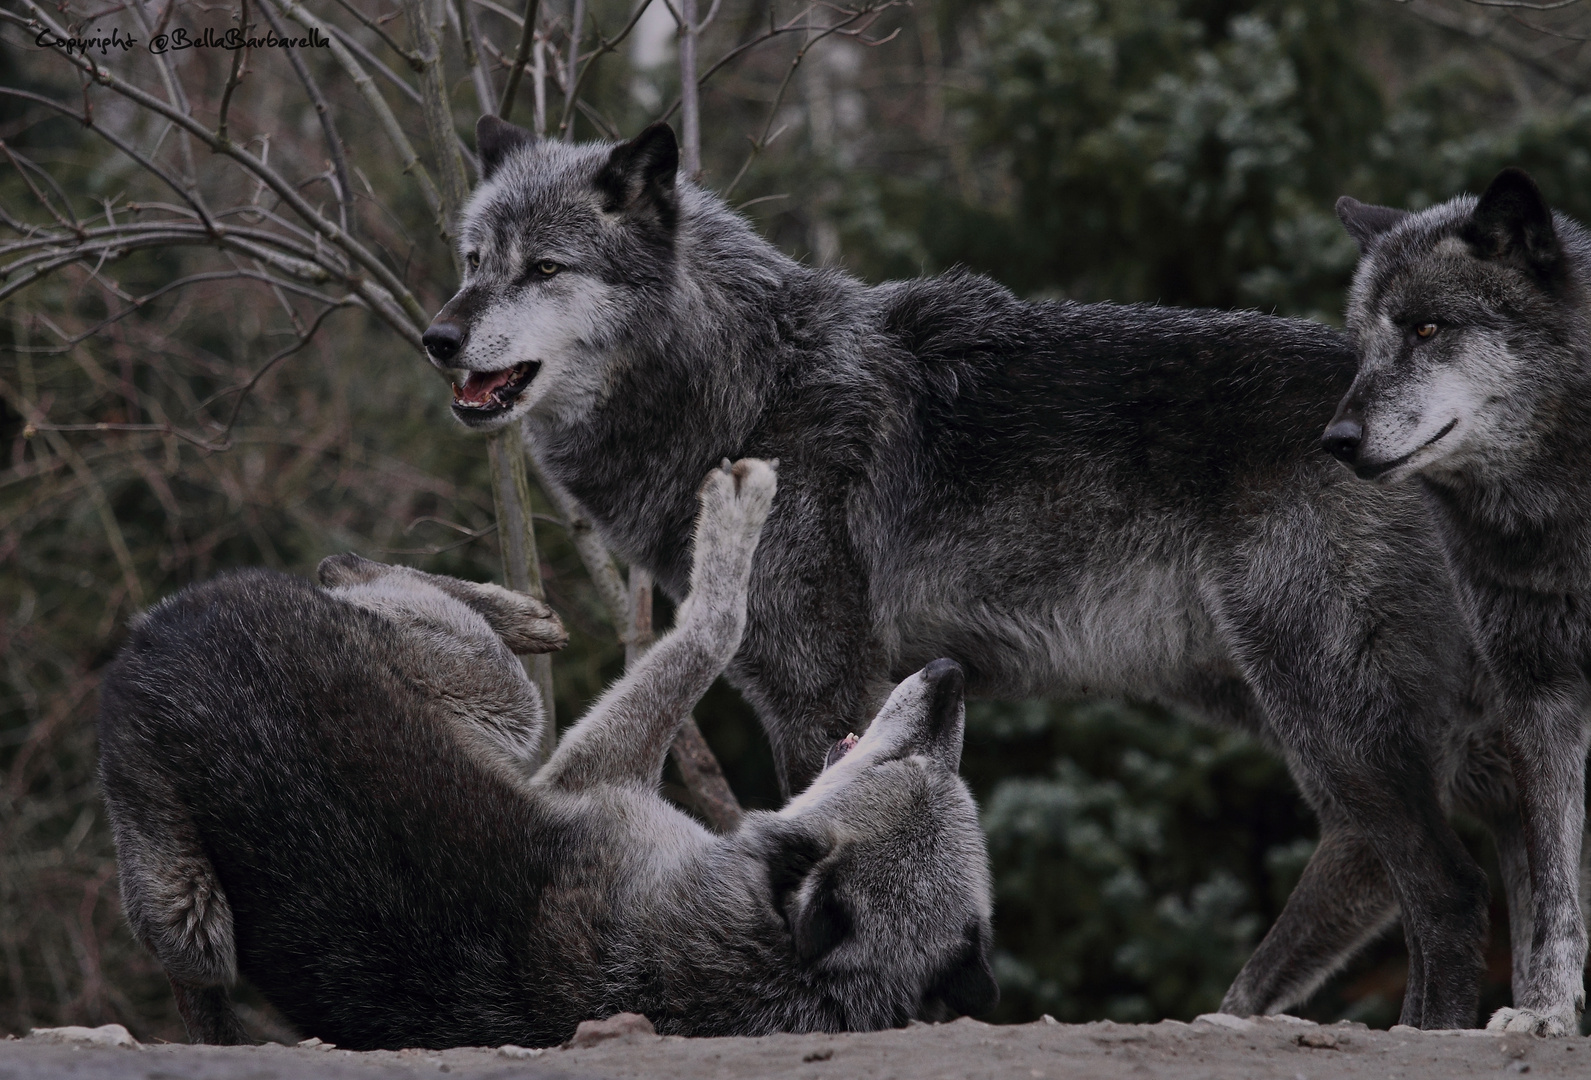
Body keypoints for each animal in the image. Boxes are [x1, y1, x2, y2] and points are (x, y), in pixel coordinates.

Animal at [96, 461, 992, 1049]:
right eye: (937, 766)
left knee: (363, 576)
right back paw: (527, 612)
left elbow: (713, 623)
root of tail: (154, 636)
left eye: (909, 766)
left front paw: (733, 525)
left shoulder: (584, 770)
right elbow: (713, 628)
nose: (951, 676)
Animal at [413, 116, 1501, 1030]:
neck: (747, 386)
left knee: (1444, 888)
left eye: (544, 267)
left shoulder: (822, 688)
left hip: (1315, 696)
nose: (437, 337)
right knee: (1406, 866)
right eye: (472, 261)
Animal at [1323, 168, 1591, 1037]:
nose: (1335, 440)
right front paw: (1545, 1011)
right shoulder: (1539, 695)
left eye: (1427, 328)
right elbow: (1554, 890)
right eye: (1362, 347)